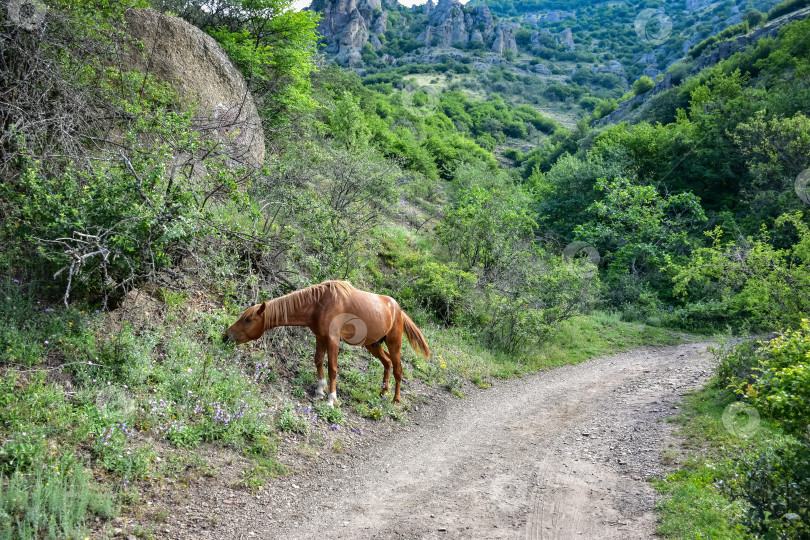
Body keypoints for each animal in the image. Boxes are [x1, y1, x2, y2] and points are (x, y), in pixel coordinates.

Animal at [221, 280, 430, 408]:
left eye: (248, 320)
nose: (226, 336)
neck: (318, 304)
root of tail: (397, 309)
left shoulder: (332, 340)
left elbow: (332, 368)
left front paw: (332, 399)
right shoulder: (320, 338)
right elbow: (318, 361)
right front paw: (320, 390)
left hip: (394, 343)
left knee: (398, 369)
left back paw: (395, 399)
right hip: (373, 344)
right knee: (386, 363)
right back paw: (384, 390)